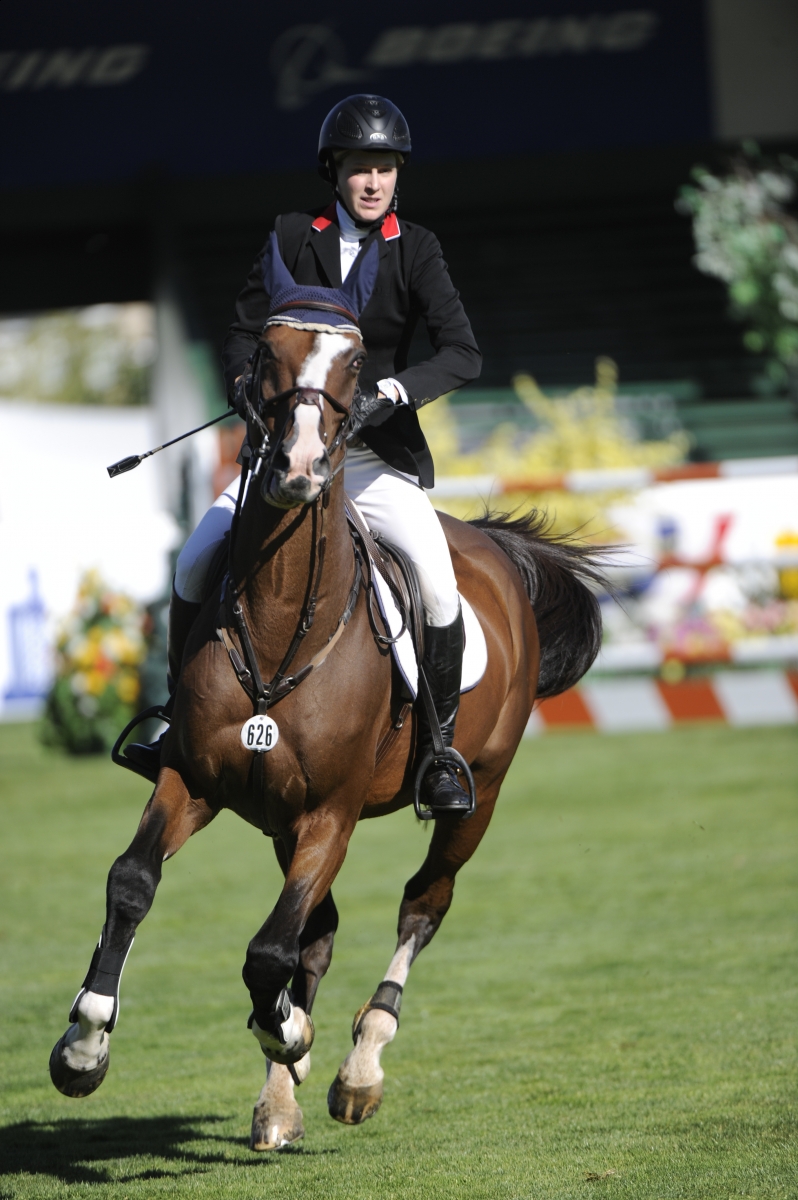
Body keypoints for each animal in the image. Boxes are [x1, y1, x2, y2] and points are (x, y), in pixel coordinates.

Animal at [49, 240, 606, 1151]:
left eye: (354, 365)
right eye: (268, 354)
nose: (299, 470)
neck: (283, 626)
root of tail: (492, 544)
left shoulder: (331, 814)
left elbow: (269, 952)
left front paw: (292, 1034)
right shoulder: (195, 781)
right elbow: (134, 882)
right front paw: (84, 1045)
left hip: (476, 795)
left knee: (422, 905)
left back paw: (357, 1068)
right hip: (280, 819)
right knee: (323, 930)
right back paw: (281, 1098)